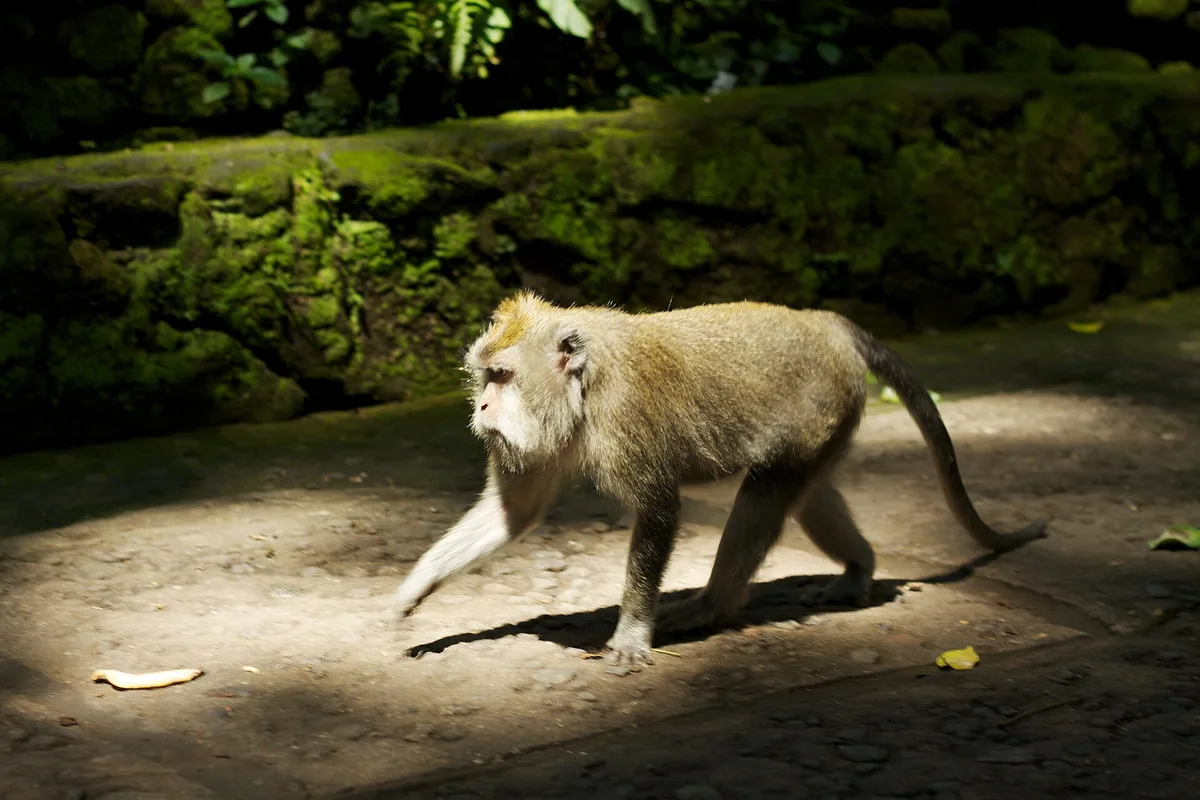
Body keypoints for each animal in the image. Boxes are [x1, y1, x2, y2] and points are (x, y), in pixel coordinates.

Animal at [390, 291, 1047, 667]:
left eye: (501, 376)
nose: (481, 408)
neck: (584, 388)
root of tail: (827, 325)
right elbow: (513, 515)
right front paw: (412, 589)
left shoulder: (627, 420)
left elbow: (659, 511)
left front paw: (631, 634)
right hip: (832, 422)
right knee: (805, 496)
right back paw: (860, 568)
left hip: (824, 406)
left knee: (766, 493)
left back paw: (712, 606)